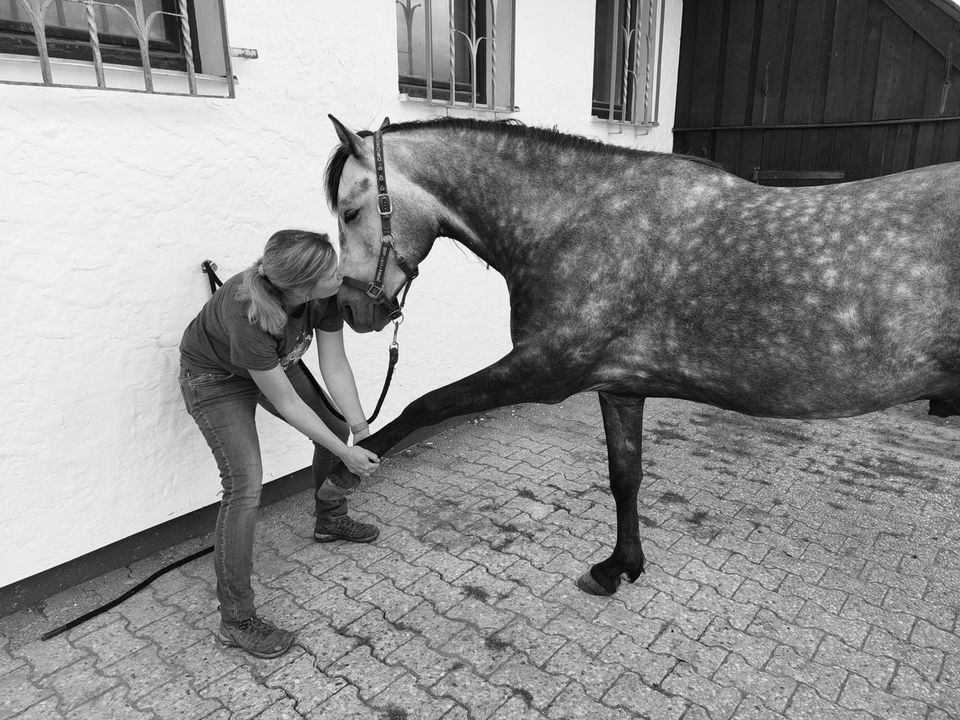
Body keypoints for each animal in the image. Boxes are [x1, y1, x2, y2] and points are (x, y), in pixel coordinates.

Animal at [322, 114, 960, 596]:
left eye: (351, 212)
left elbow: (426, 405)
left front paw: (343, 474)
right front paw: (618, 567)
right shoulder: (621, 385)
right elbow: (625, 476)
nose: (352, 309)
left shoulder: (544, 369)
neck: (577, 221)